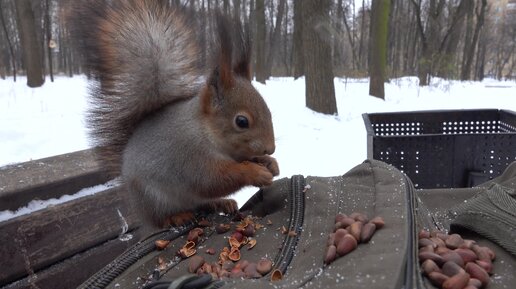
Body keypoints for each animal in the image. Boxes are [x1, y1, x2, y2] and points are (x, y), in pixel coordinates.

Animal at [72, 0, 278, 227]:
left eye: (269, 110)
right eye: (241, 121)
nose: (271, 149)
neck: (204, 131)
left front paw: (271, 164)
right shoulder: (189, 156)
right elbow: (212, 180)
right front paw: (254, 172)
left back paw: (221, 203)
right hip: (154, 198)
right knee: (161, 219)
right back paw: (177, 216)